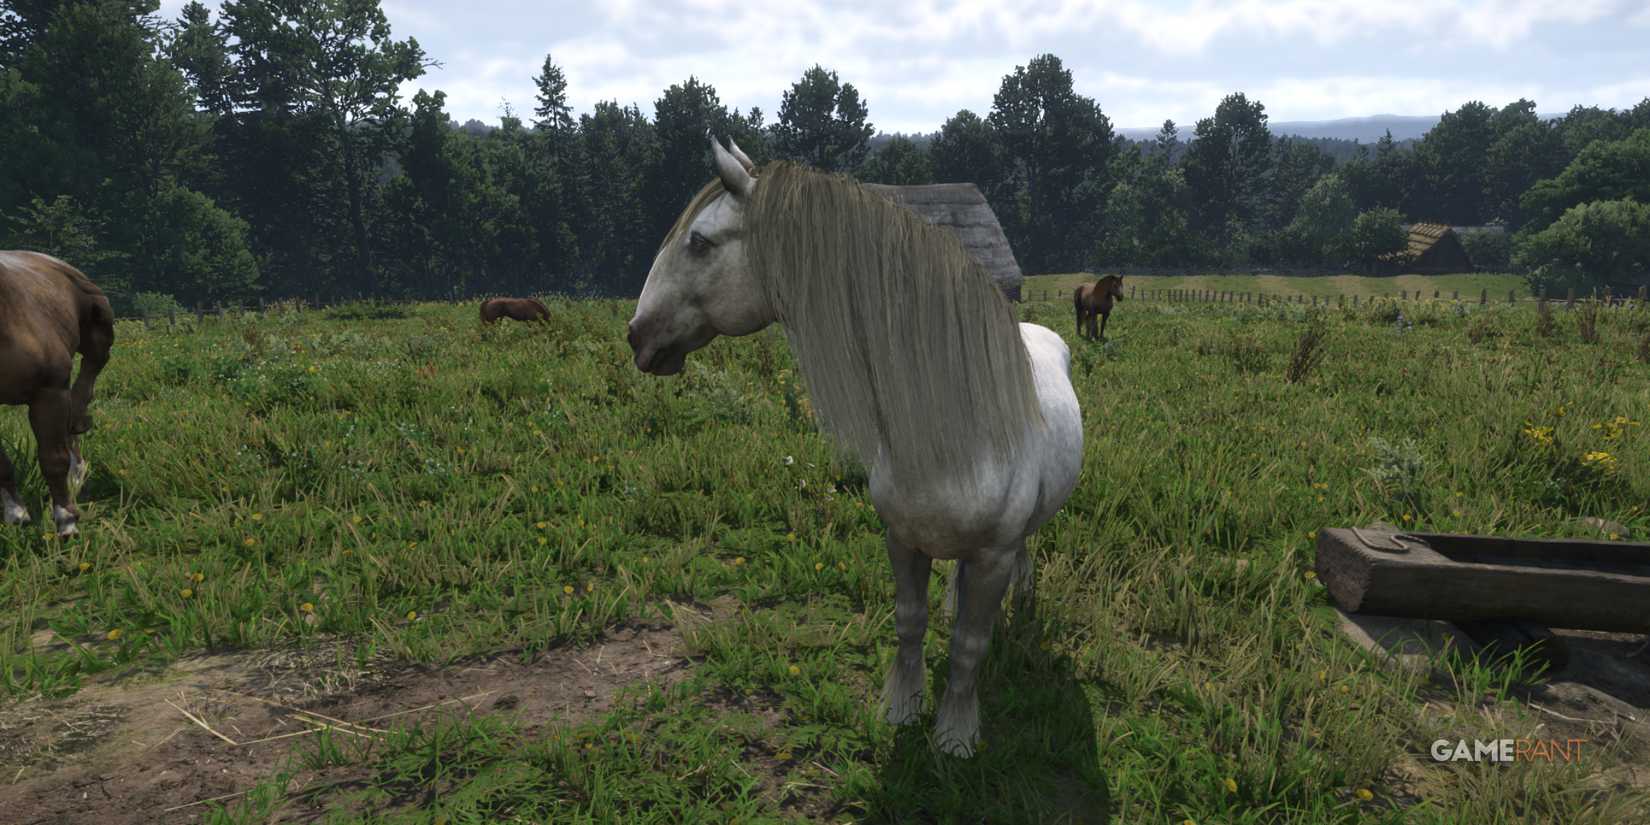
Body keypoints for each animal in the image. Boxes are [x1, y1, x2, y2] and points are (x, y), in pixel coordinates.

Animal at [0, 250, 115, 537]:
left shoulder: (49, 392)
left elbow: (54, 459)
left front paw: (66, 520)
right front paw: (16, 514)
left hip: (99, 324)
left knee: (92, 368)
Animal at [627, 136, 1083, 757]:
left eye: (698, 242)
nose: (637, 335)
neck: (953, 436)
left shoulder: (993, 557)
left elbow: (969, 646)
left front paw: (955, 736)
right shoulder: (902, 540)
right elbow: (910, 620)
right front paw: (902, 709)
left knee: (1026, 550)